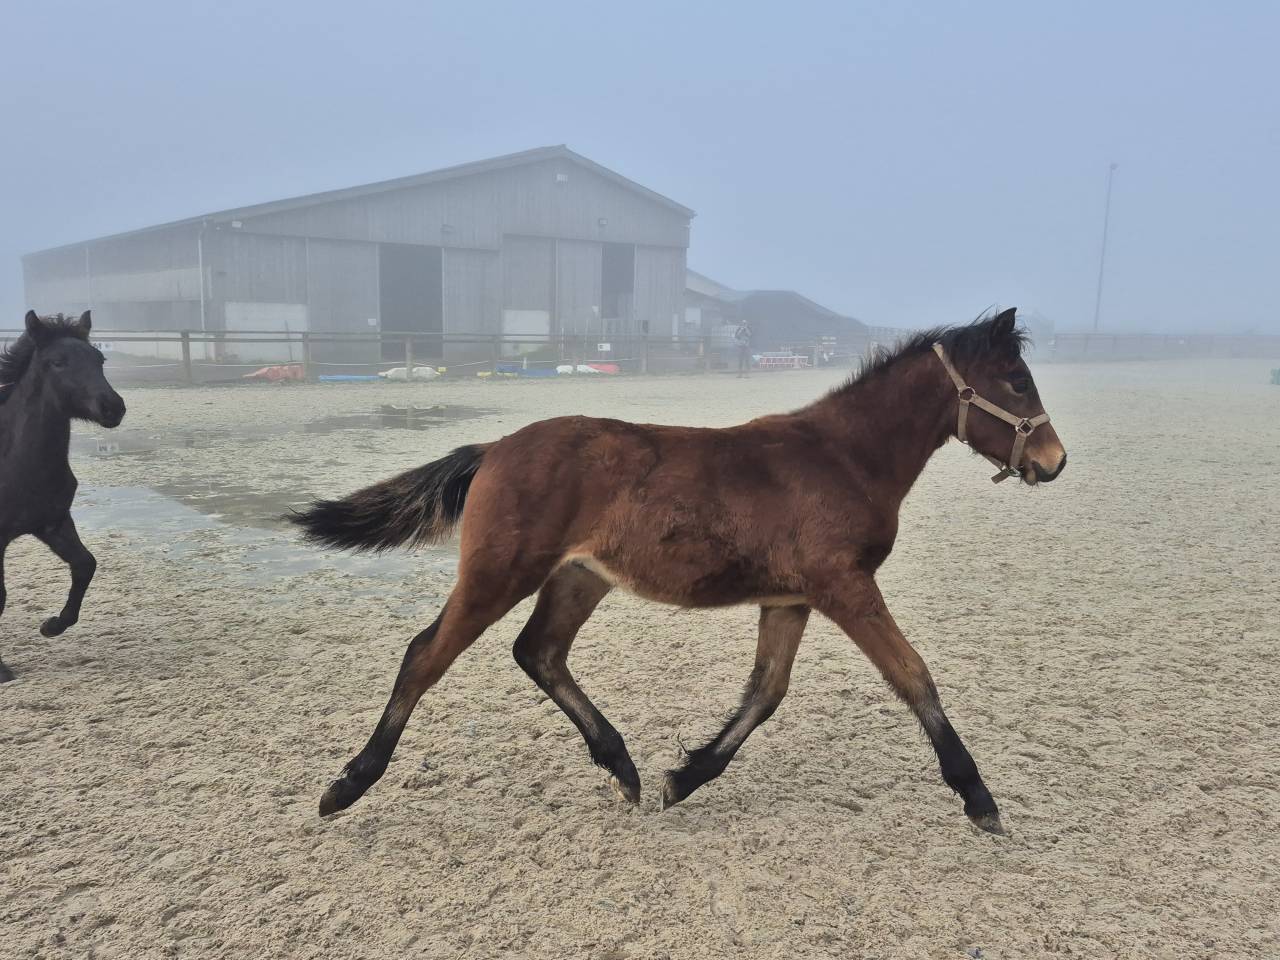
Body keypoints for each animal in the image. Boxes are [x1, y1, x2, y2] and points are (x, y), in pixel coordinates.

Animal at [0, 311, 126, 683]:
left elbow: (85, 565)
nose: (112, 407)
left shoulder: (53, 523)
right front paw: (1, 669)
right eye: (57, 362)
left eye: (100, 360)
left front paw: (52, 625)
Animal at [292, 308, 1067, 833]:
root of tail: (495, 448)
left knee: (539, 651)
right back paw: (347, 785)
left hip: (580, 576)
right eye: (1016, 381)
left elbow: (766, 692)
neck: (842, 458)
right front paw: (979, 798)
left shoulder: (791, 597)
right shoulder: (844, 586)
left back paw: (623, 767)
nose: (1054, 461)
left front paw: (684, 778)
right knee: (427, 655)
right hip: (498, 573)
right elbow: (913, 676)